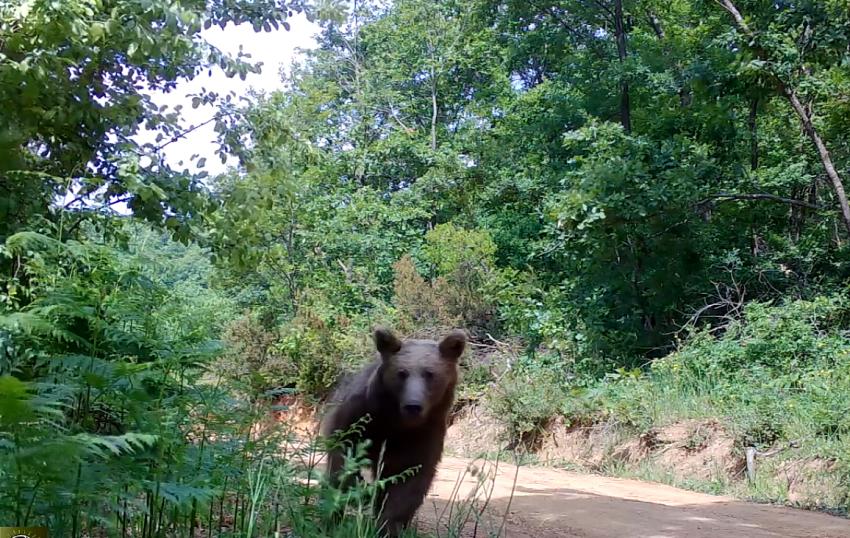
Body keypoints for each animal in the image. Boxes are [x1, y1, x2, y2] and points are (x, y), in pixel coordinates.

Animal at [318, 324, 464, 532]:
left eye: (429, 373)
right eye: (402, 373)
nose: (413, 406)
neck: (396, 422)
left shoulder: (424, 433)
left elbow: (409, 480)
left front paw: (388, 525)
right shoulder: (360, 414)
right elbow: (344, 453)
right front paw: (360, 490)